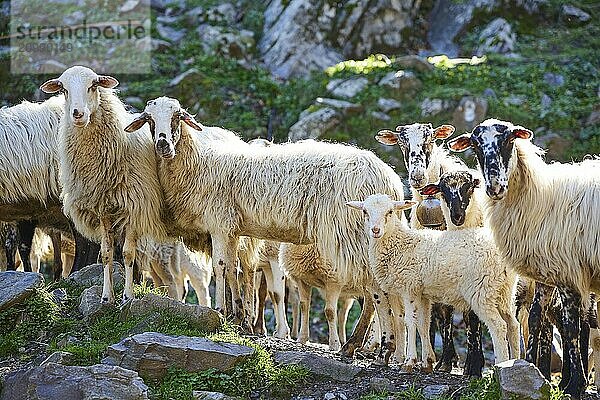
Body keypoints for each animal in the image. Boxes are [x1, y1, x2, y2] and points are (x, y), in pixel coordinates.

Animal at [40, 65, 168, 304]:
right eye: (63, 89)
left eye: (93, 85)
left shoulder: (134, 206)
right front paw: (107, 296)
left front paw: (128, 295)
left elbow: (128, 253)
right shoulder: (102, 209)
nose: (78, 114)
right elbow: (106, 253)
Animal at [125, 96, 408, 360]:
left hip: (353, 235)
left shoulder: (219, 224)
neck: (198, 163)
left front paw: (221, 312)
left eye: (178, 116)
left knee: (374, 290)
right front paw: (238, 317)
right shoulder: (232, 230)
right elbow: (233, 270)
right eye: (149, 119)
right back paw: (375, 346)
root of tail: (389, 178)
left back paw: (364, 345)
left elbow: (220, 267)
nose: (163, 144)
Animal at [346, 194, 520, 372]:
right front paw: (426, 363)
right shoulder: (422, 294)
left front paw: (409, 362)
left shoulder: (409, 288)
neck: (399, 244)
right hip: (504, 291)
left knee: (499, 326)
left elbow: (410, 322)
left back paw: (501, 363)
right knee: (513, 324)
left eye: (390, 212)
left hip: (482, 290)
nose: (375, 230)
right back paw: (514, 361)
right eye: (365, 211)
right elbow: (423, 325)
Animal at [448, 116, 600, 396]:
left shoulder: (569, 272)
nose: (494, 187)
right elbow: (538, 319)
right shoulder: (550, 272)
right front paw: (534, 369)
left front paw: (575, 386)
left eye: (509, 140)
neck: (540, 197)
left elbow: (571, 328)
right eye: (475, 145)